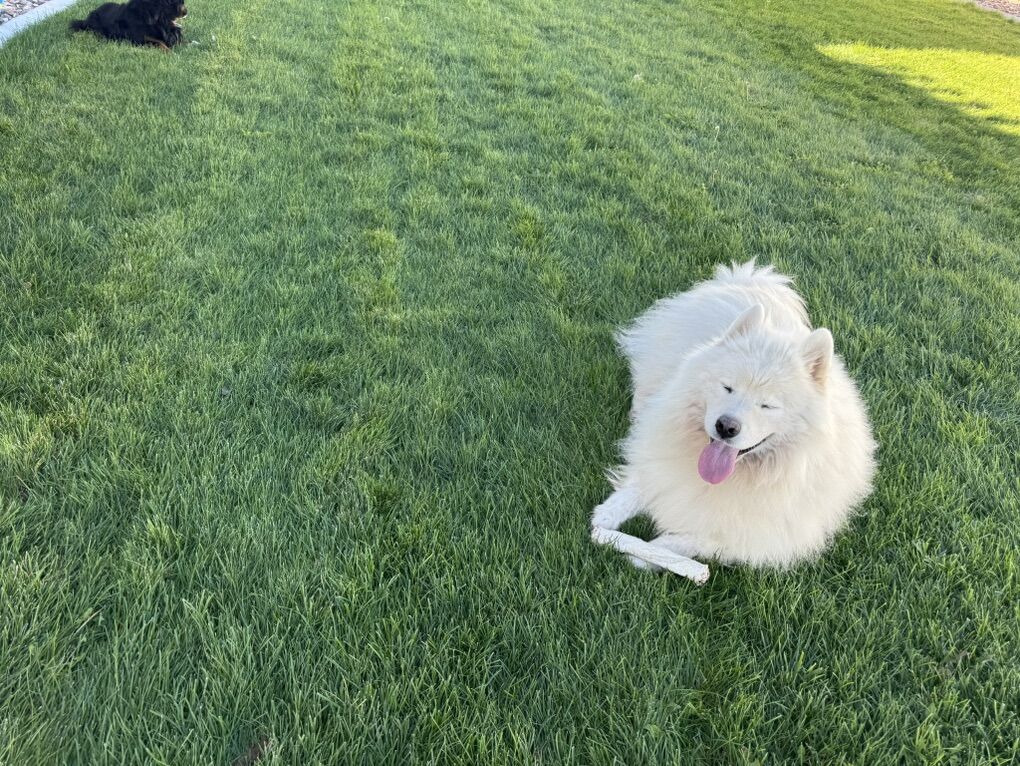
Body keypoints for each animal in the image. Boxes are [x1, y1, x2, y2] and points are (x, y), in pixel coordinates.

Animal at [591, 261, 876, 569]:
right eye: (728, 387)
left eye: (768, 406)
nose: (726, 426)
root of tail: (749, 282)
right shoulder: (658, 452)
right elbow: (643, 480)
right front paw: (606, 515)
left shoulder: (750, 537)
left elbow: (689, 540)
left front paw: (648, 555)